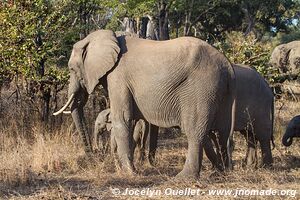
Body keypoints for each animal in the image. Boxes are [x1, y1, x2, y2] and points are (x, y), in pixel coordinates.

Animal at [54, 29, 237, 178]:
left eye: (71, 69)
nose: (93, 156)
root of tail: (228, 67)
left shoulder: (118, 76)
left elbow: (123, 119)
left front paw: (131, 173)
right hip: (221, 92)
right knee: (221, 131)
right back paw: (221, 172)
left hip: (202, 88)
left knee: (195, 131)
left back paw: (184, 177)